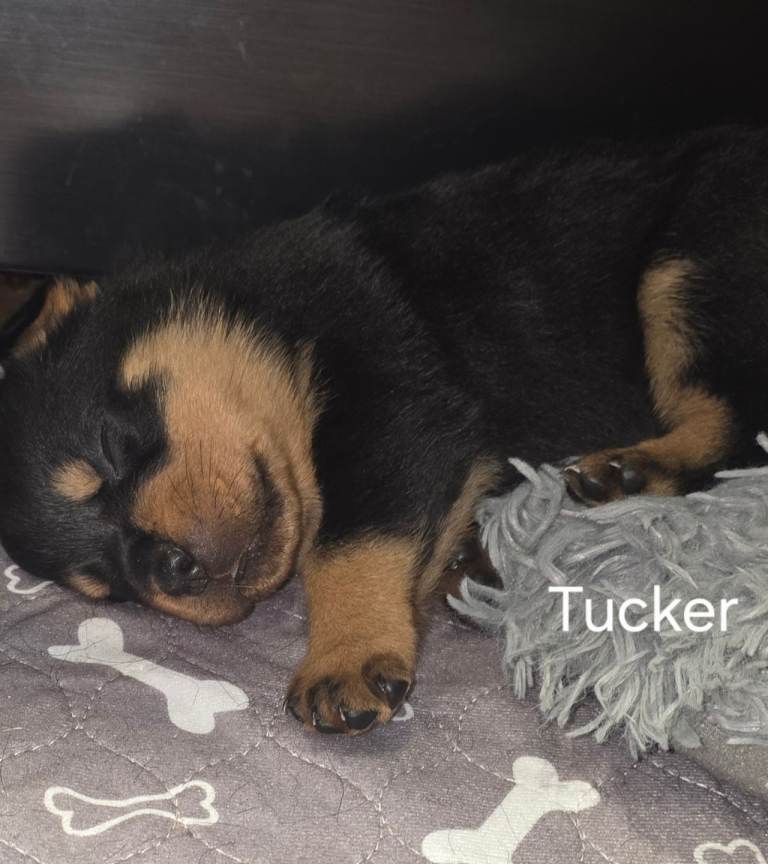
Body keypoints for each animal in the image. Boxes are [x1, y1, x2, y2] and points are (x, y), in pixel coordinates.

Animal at [2, 126, 768, 735]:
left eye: (113, 450)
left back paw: (633, 471)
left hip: (690, 262)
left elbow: (351, 542)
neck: (276, 316)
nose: (167, 566)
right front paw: (466, 555)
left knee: (736, 425)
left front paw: (344, 656)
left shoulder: (395, 393)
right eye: (107, 584)